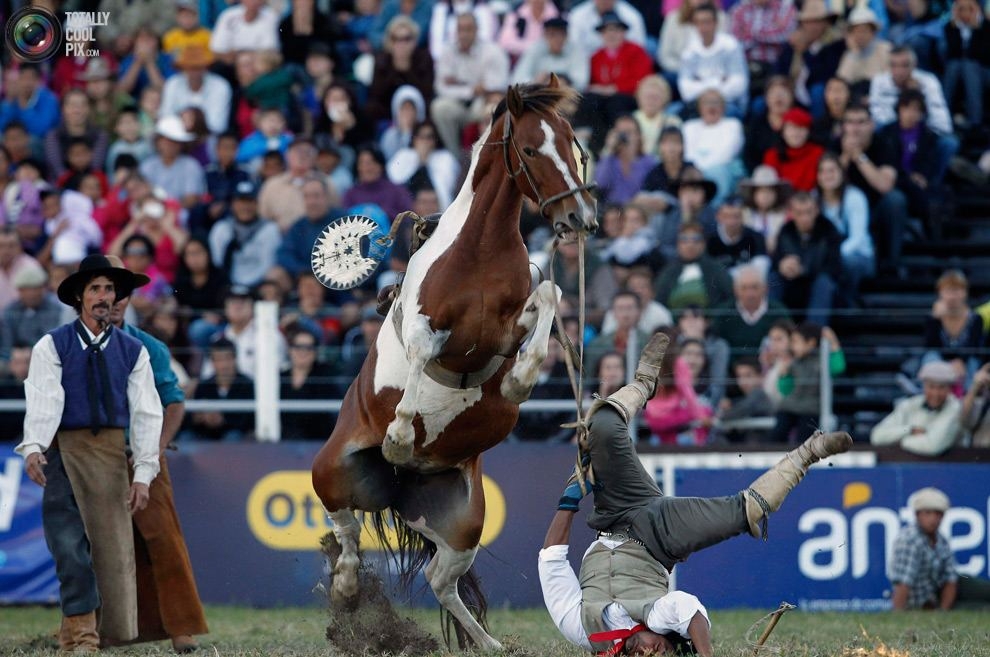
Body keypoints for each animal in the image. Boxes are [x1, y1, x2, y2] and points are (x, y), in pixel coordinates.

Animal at [314, 77, 600, 644]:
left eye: (574, 145)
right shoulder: (425, 324)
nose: (578, 217)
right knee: (347, 530)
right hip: (330, 470)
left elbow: (551, 294)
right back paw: (347, 585)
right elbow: (422, 351)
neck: (479, 252)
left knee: (440, 580)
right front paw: (401, 434)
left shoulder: (507, 327)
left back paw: (489, 643)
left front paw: (518, 382)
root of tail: (398, 488)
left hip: (464, 522)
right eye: (530, 149)